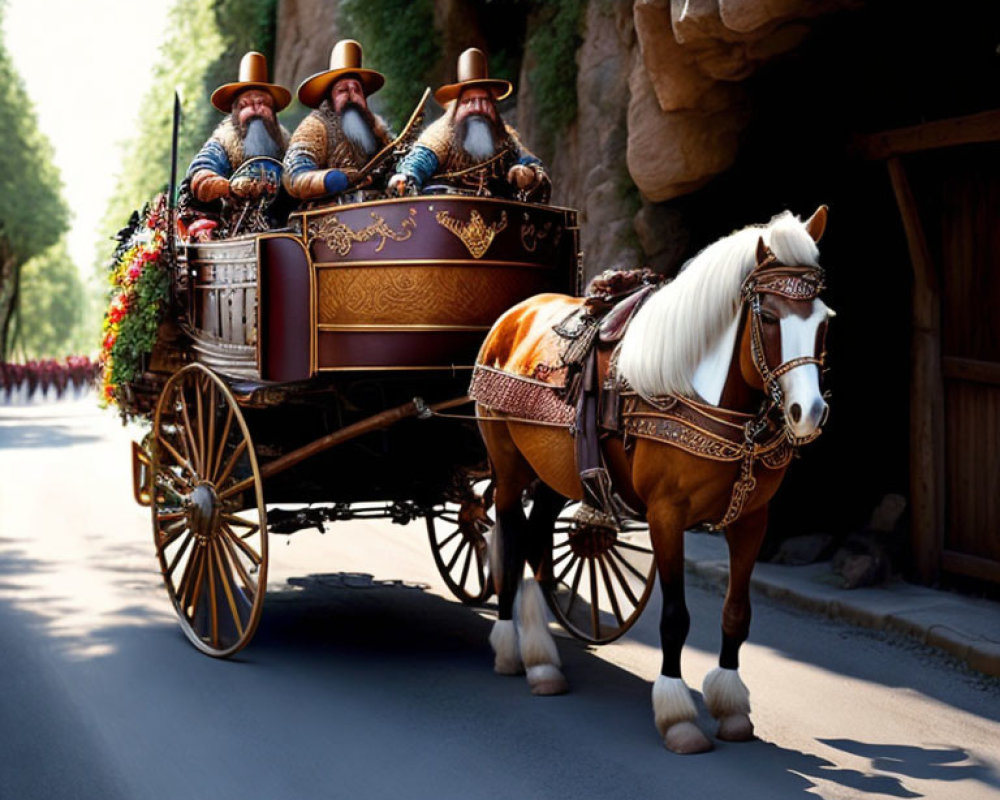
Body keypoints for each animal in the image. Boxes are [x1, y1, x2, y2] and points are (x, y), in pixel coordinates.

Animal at [472, 205, 832, 752]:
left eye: (823, 320)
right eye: (768, 316)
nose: (807, 412)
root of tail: (514, 315)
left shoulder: (752, 519)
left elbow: (737, 612)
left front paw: (731, 706)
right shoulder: (666, 517)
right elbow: (676, 617)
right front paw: (678, 715)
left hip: (556, 475)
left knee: (536, 541)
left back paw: (541, 660)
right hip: (510, 467)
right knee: (511, 540)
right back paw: (513, 649)